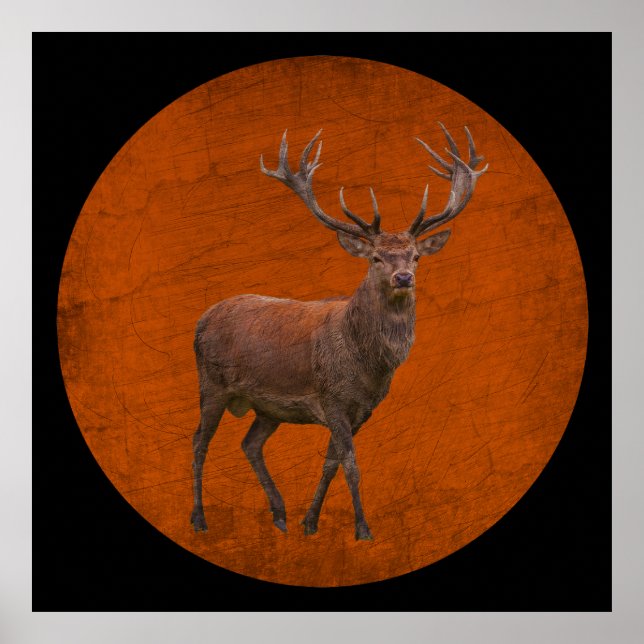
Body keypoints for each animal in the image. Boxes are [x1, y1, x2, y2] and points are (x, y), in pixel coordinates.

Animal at [191, 124, 487, 540]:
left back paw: (279, 515)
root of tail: (202, 318)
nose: (403, 277)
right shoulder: (330, 397)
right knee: (199, 442)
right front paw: (363, 528)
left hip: (267, 407)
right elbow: (351, 464)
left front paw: (310, 522)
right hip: (211, 383)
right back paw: (199, 518)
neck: (366, 365)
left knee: (249, 443)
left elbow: (331, 463)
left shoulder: (363, 408)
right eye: (376, 257)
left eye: (415, 256)